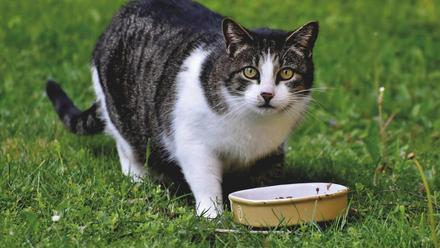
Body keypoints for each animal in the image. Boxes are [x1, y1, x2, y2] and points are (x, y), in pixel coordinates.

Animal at [46, 0, 318, 217]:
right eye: (250, 71)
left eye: (286, 73)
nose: (267, 94)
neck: (252, 124)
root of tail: (119, 15)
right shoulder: (193, 143)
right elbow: (204, 179)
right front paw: (212, 215)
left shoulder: (271, 151)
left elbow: (265, 182)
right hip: (118, 108)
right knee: (126, 146)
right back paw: (138, 179)